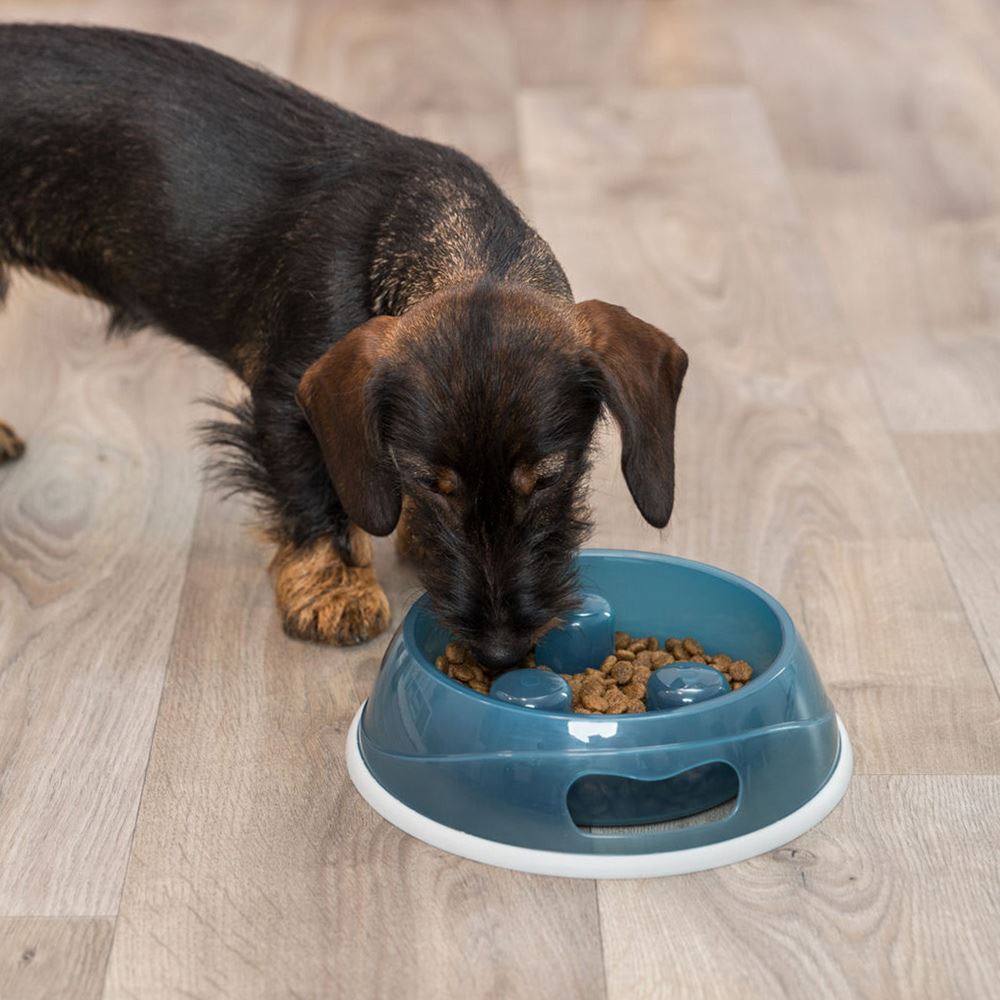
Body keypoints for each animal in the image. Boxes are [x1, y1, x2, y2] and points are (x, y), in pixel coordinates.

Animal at [0, 23, 688, 668]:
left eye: (549, 480)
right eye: (432, 483)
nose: (499, 652)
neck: (451, 241)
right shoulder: (287, 401)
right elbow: (315, 497)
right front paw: (335, 590)